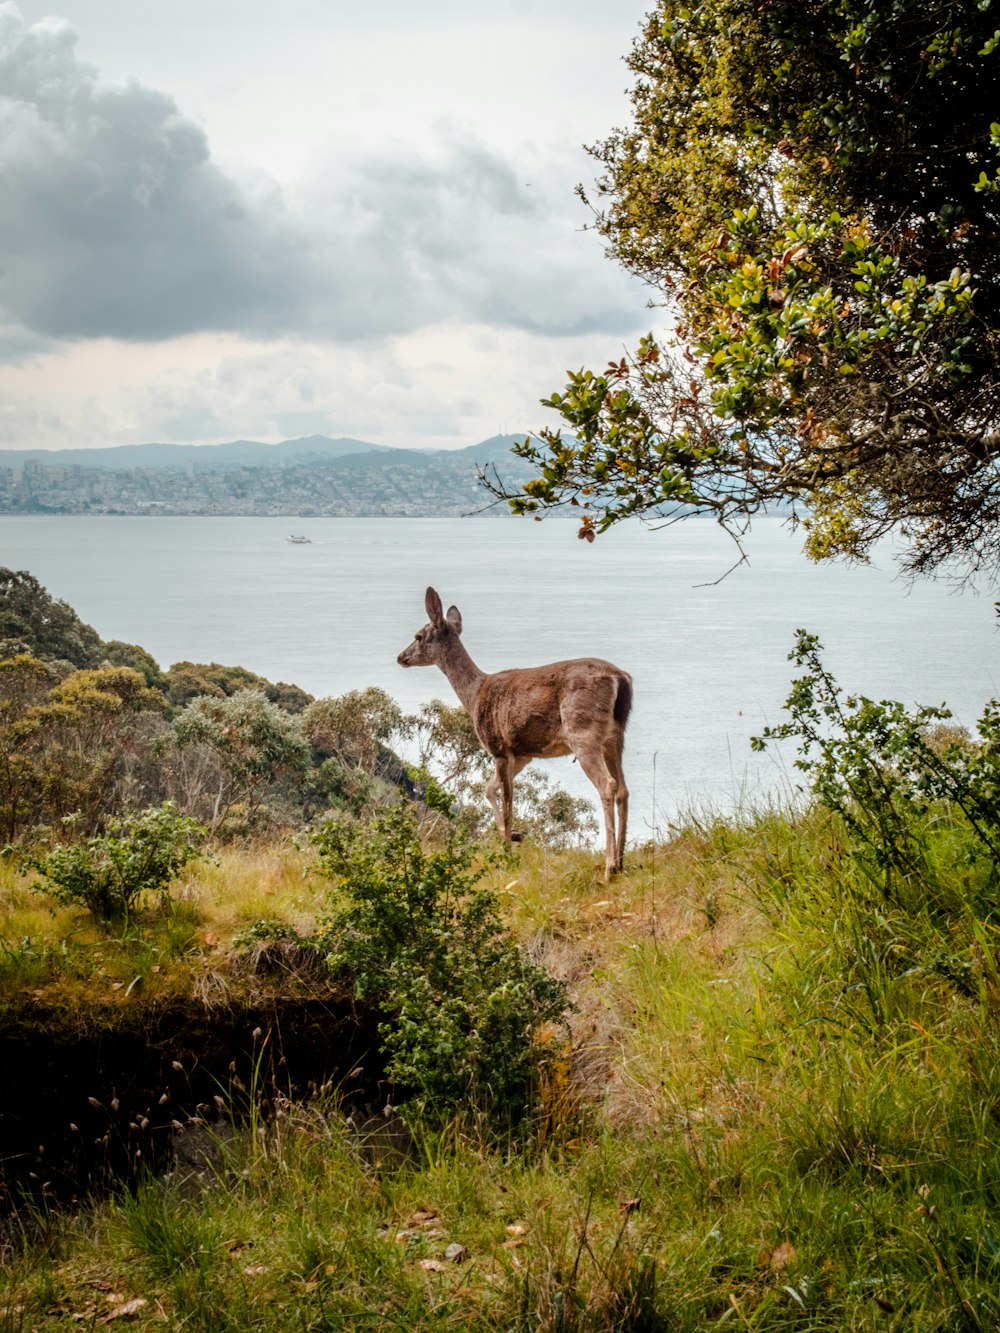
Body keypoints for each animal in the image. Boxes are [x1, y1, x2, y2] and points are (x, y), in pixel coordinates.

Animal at [400, 589, 634, 879]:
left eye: (418, 636)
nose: (401, 657)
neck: (474, 695)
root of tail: (620, 679)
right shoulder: (522, 755)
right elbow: (488, 789)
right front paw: (514, 837)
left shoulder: (498, 747)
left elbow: (507, 803)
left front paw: (508, 855)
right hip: (615, 735)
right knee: (623, 789)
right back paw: (622, 862)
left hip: (583, 731)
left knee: (607, 784)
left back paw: (609, 866)